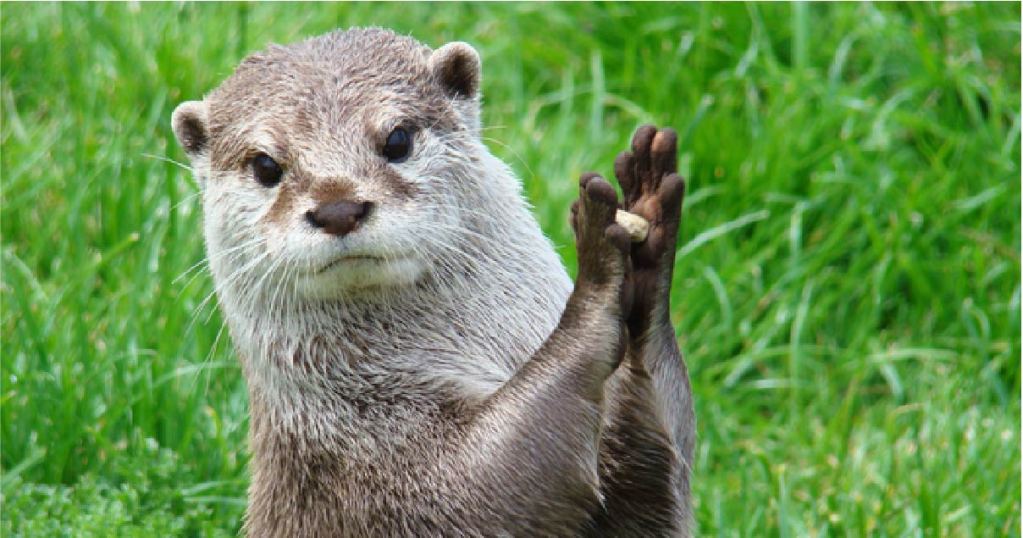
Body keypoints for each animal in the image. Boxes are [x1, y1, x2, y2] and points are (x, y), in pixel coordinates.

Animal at [171, 28, 694, 537]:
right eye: (265, 166)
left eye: (398, 139)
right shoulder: (382, 477)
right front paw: (596, 282)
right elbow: (491, 481)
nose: (338, 207)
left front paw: (649, 231)